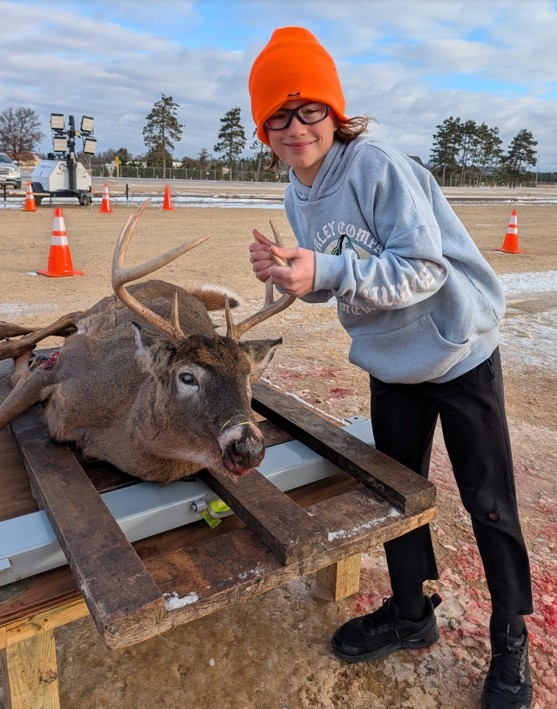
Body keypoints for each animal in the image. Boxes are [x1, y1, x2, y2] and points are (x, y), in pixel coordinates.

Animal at [0, 200, 294, 484]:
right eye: (187, 377)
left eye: (247, 376)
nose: (247, 449)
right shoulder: (69, 360)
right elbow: (4, 413)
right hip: (100, 307)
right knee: (66, 317)